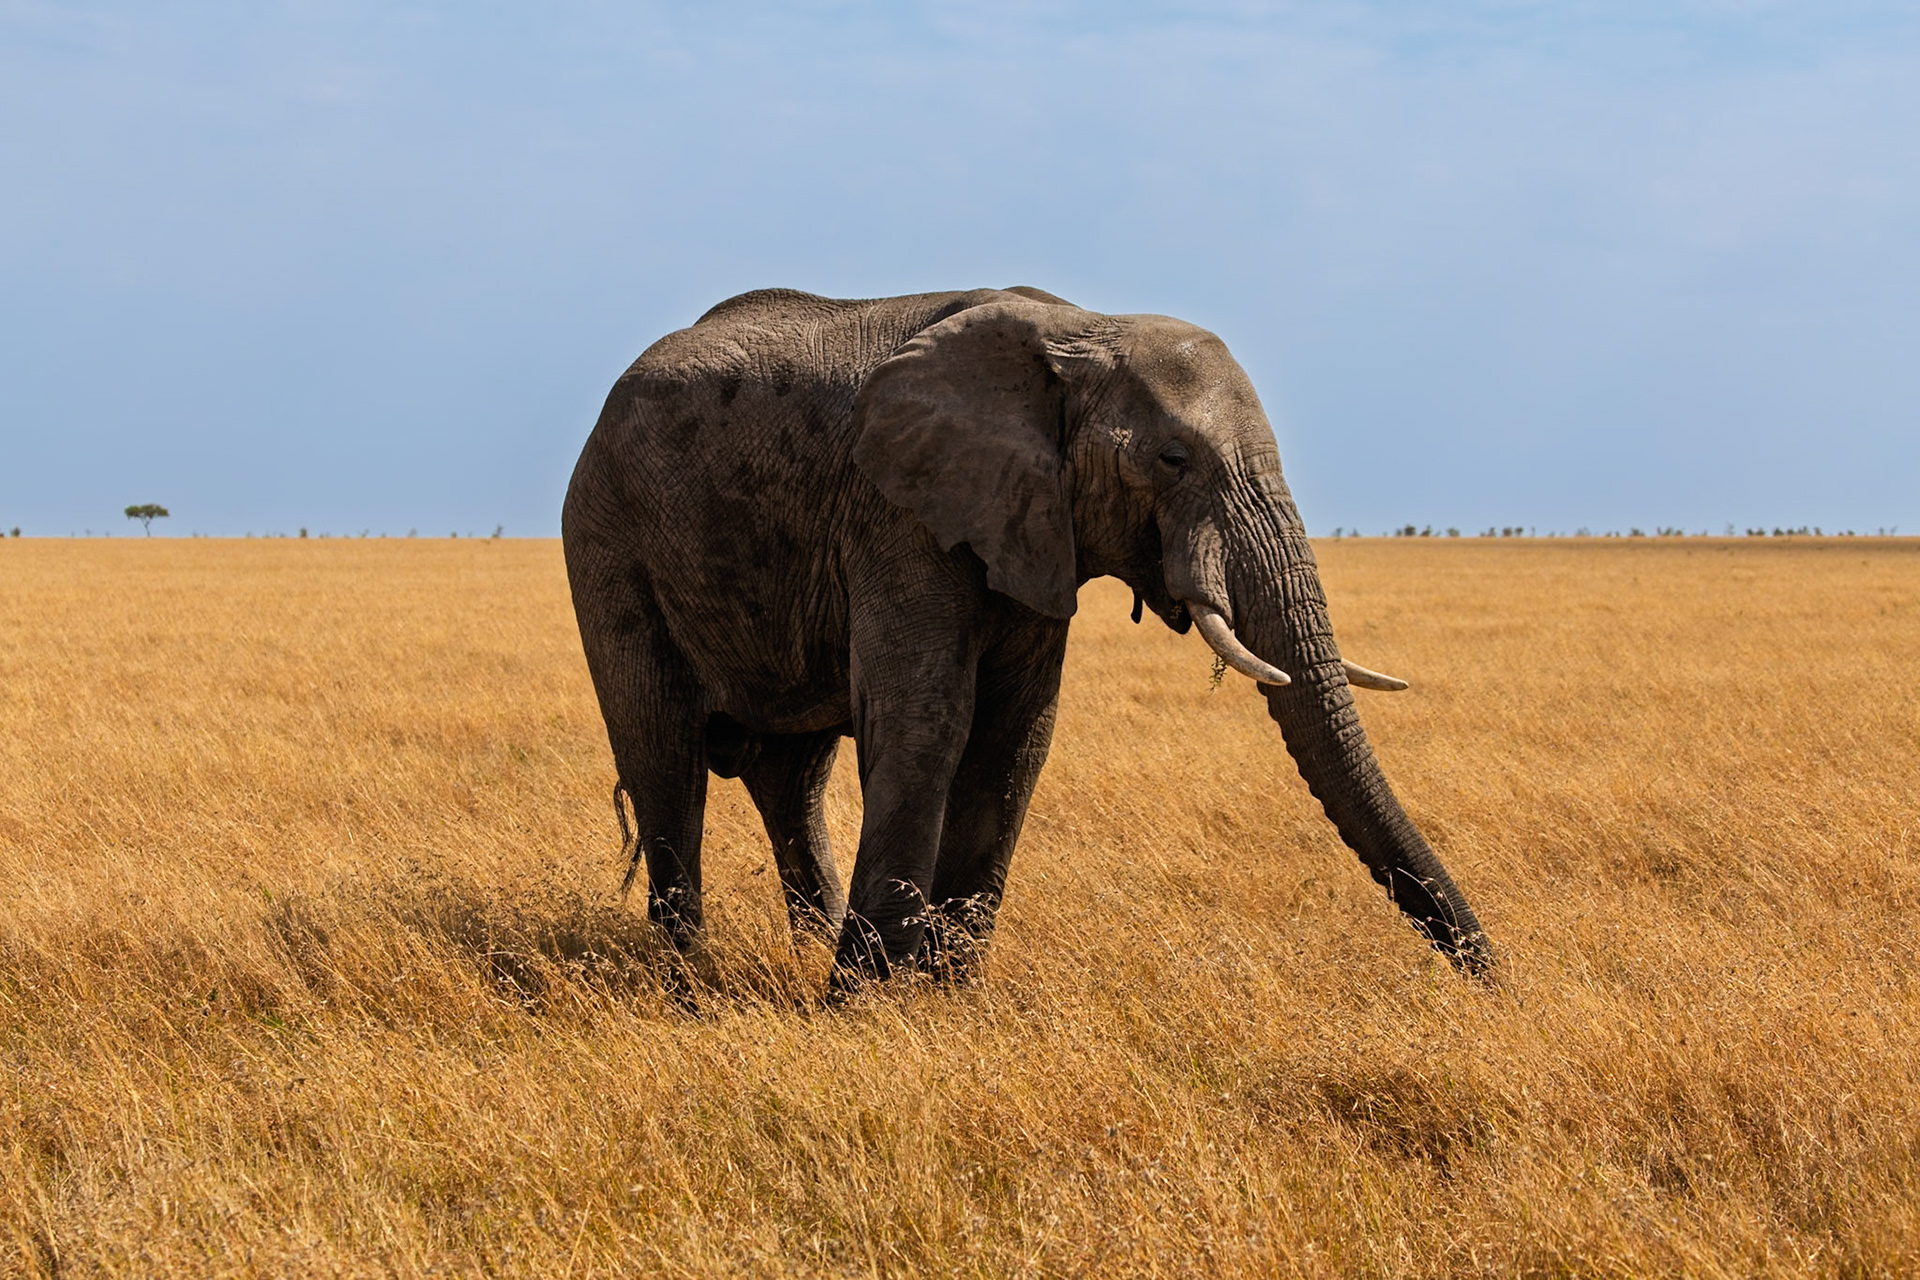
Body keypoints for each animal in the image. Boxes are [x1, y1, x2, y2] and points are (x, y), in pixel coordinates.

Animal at [562, 286, 1492, 987]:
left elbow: (1016, 737)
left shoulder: (1032, 528)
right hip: (608, 539)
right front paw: (865, 1011)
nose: (1492, 983)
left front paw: (947, 1001)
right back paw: (687, 985)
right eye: (1172, 461)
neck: (1078, 325)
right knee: (664, 759)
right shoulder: (897, 512)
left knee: (790, 778)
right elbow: (928, 722)